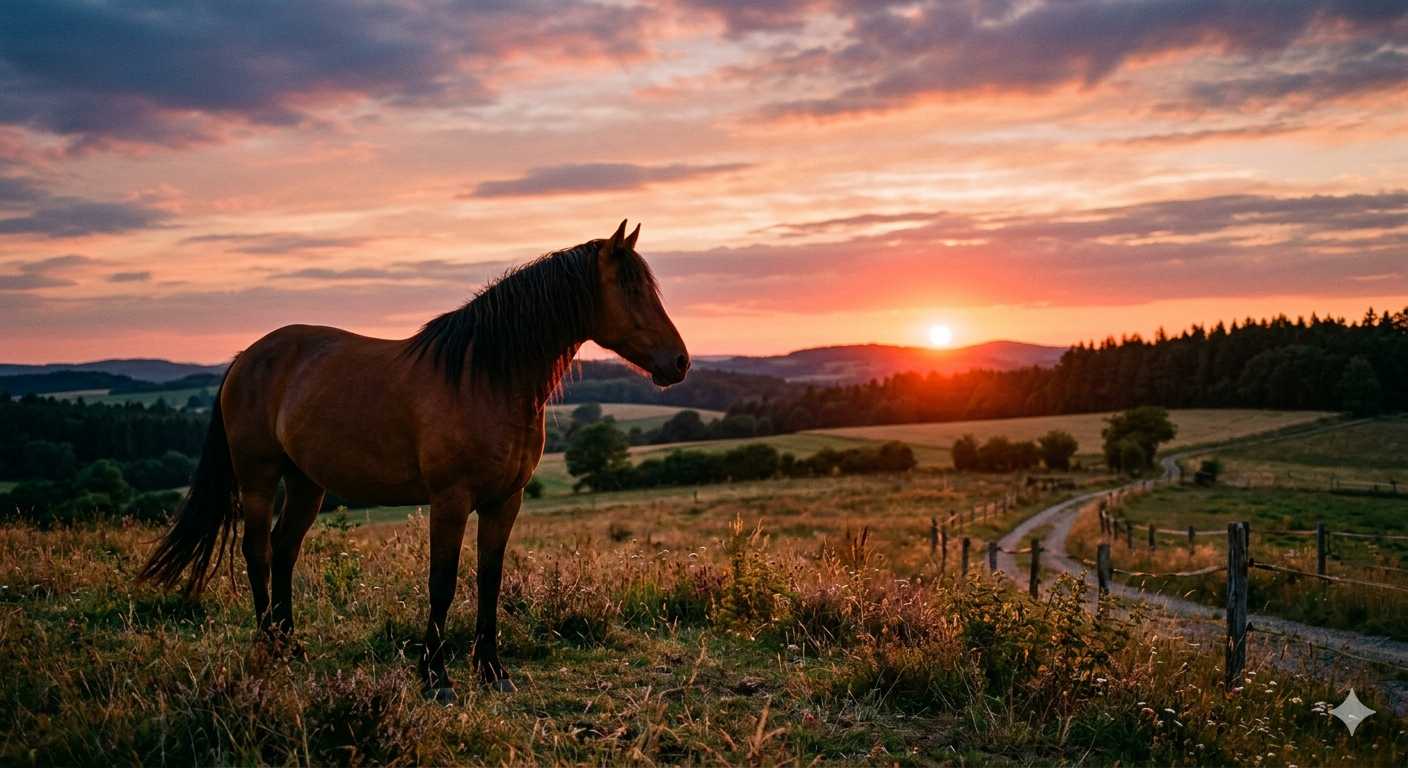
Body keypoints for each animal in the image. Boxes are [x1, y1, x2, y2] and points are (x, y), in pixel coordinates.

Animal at [139, 220, 689, 698]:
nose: (680, 363)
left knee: (283, 550)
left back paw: (292, 647)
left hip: (306, 483)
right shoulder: (449, 501)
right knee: (256, 551)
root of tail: (246, 358)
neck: (485, 378)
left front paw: (493, 672)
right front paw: (436, 677)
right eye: (631, 288)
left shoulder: (504, 502)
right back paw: (268, 649)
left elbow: (490, 580)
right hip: (258, 477)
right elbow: (441, 583)